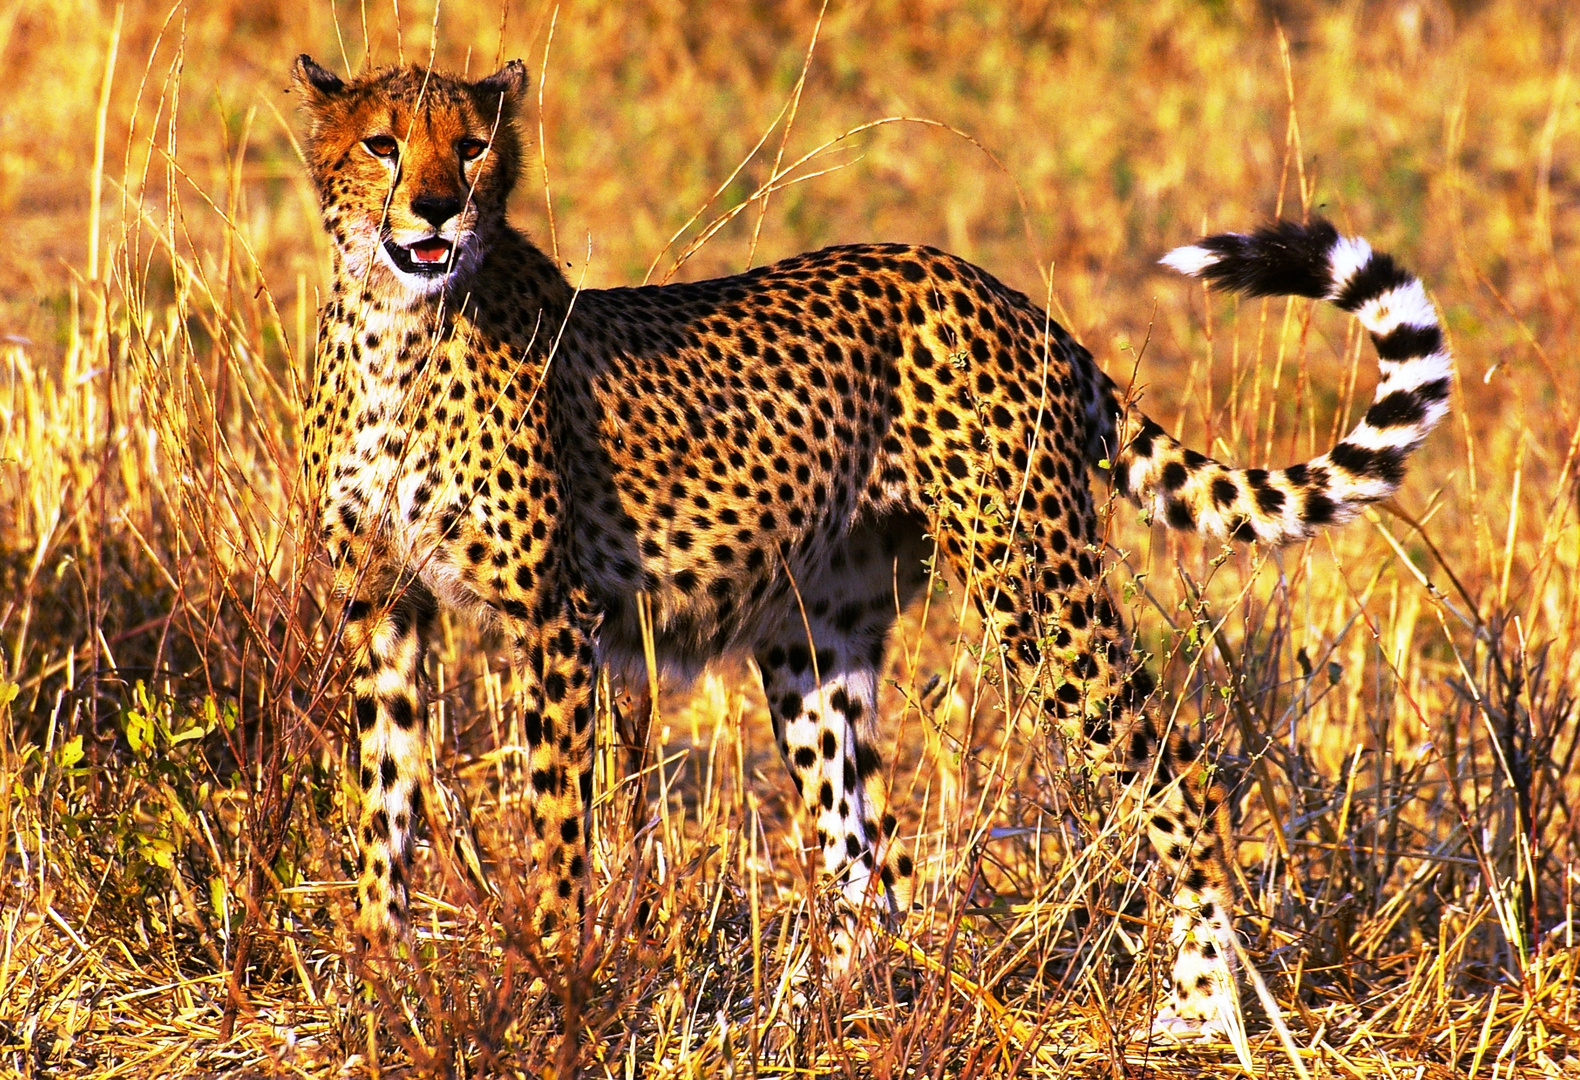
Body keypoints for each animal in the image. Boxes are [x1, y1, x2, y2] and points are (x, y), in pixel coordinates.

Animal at [290, 56, 1447, 1035]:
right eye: (384, 144)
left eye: (472, 145)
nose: (436, 206)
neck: (402, 327)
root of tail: (994, 287)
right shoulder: (384, 606)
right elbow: (380, 805)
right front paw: (373, 982)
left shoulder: (553, 617)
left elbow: (557, 827)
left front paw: (551, 983)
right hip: (815, 638)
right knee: (869, 859)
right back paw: (816, 1014)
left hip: (1035, 587)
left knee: (1179, 778)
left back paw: (1201, 1008)